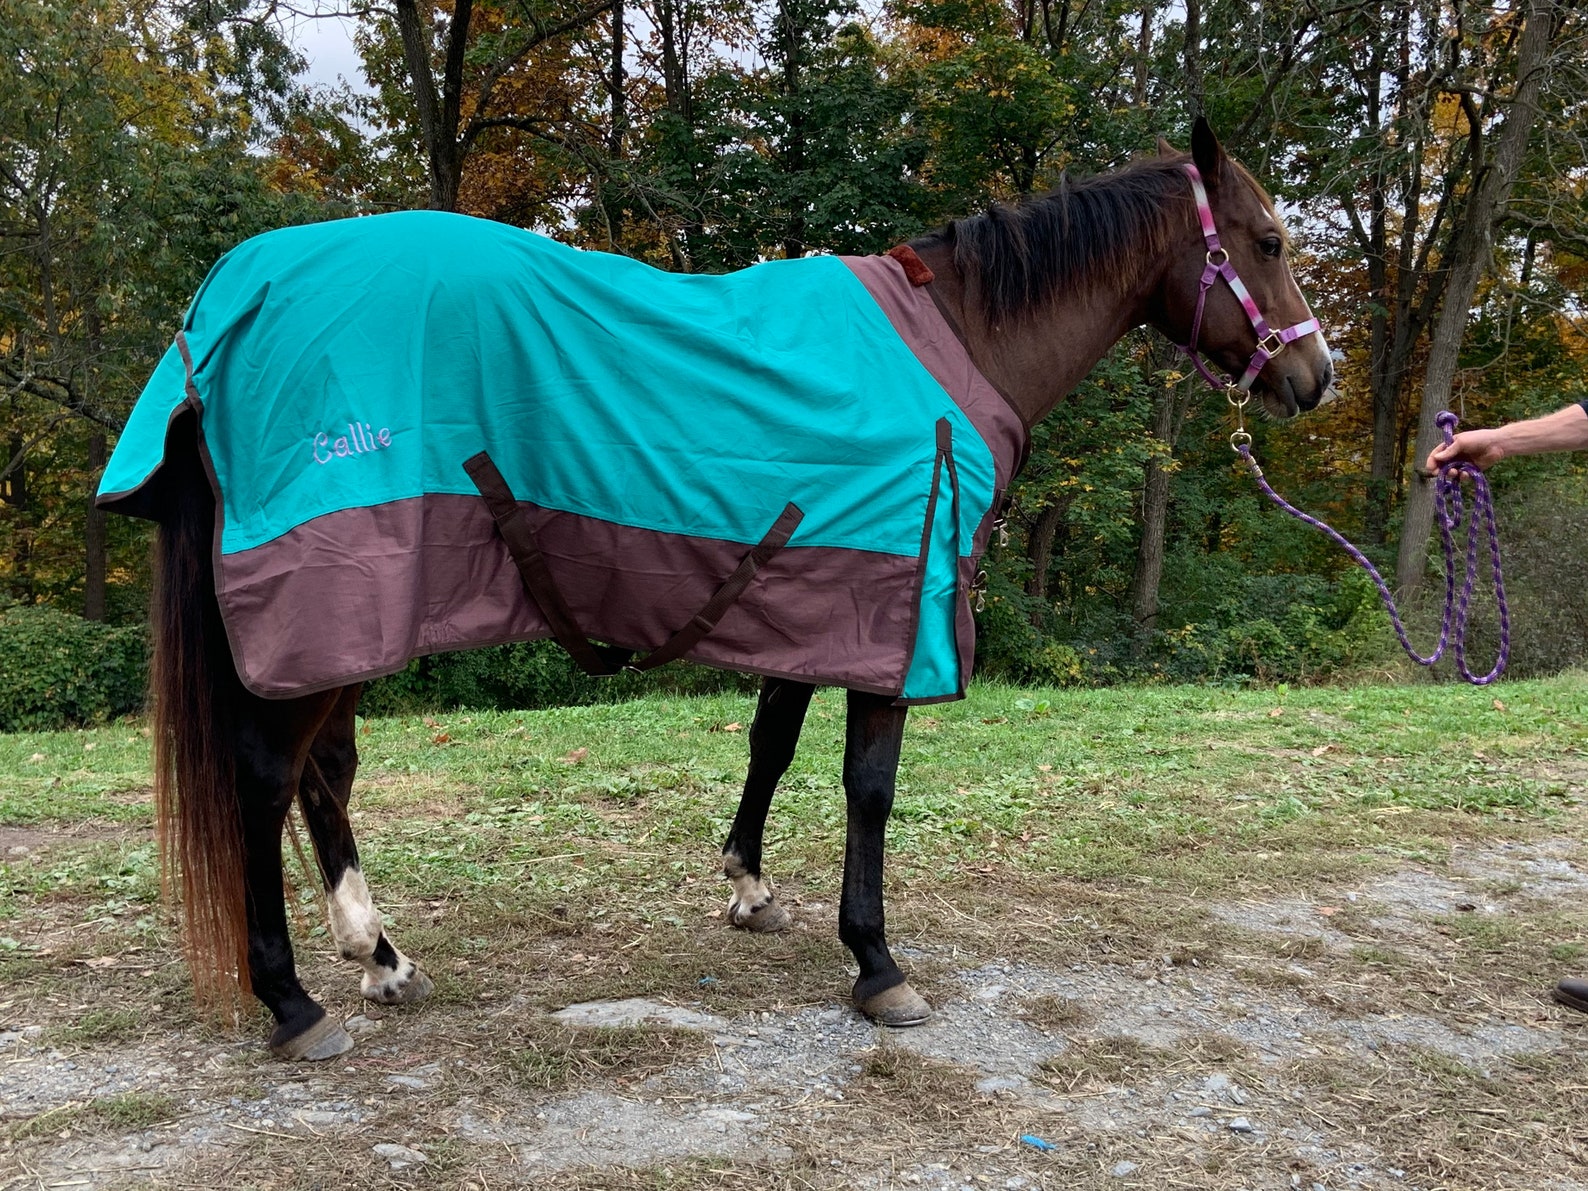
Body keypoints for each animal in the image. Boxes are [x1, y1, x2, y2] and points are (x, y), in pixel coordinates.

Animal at [101, 119, 1333, 1060]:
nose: (1314, 378)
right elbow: (869, 788)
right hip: (331, 608)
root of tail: (228, 302)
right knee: (268, 781)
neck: (956, 341)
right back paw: (293, 999)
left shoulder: (819, 596)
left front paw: (747, 888)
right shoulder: (896, 619)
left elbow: (772, 744)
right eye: (1270, 239)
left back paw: (381, 957)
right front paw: (876, 963)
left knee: (326, 777)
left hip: (351, 625)